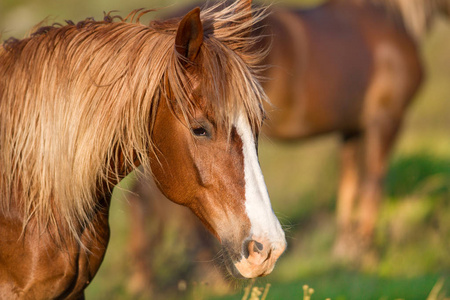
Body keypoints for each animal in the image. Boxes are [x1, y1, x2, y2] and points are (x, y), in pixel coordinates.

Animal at [125, 0, 448, 296]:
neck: (392, 19)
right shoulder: (386, 121)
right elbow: (372, 187)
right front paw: (365, 257)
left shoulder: (352, 129)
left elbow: (349, 186)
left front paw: (345, 251)